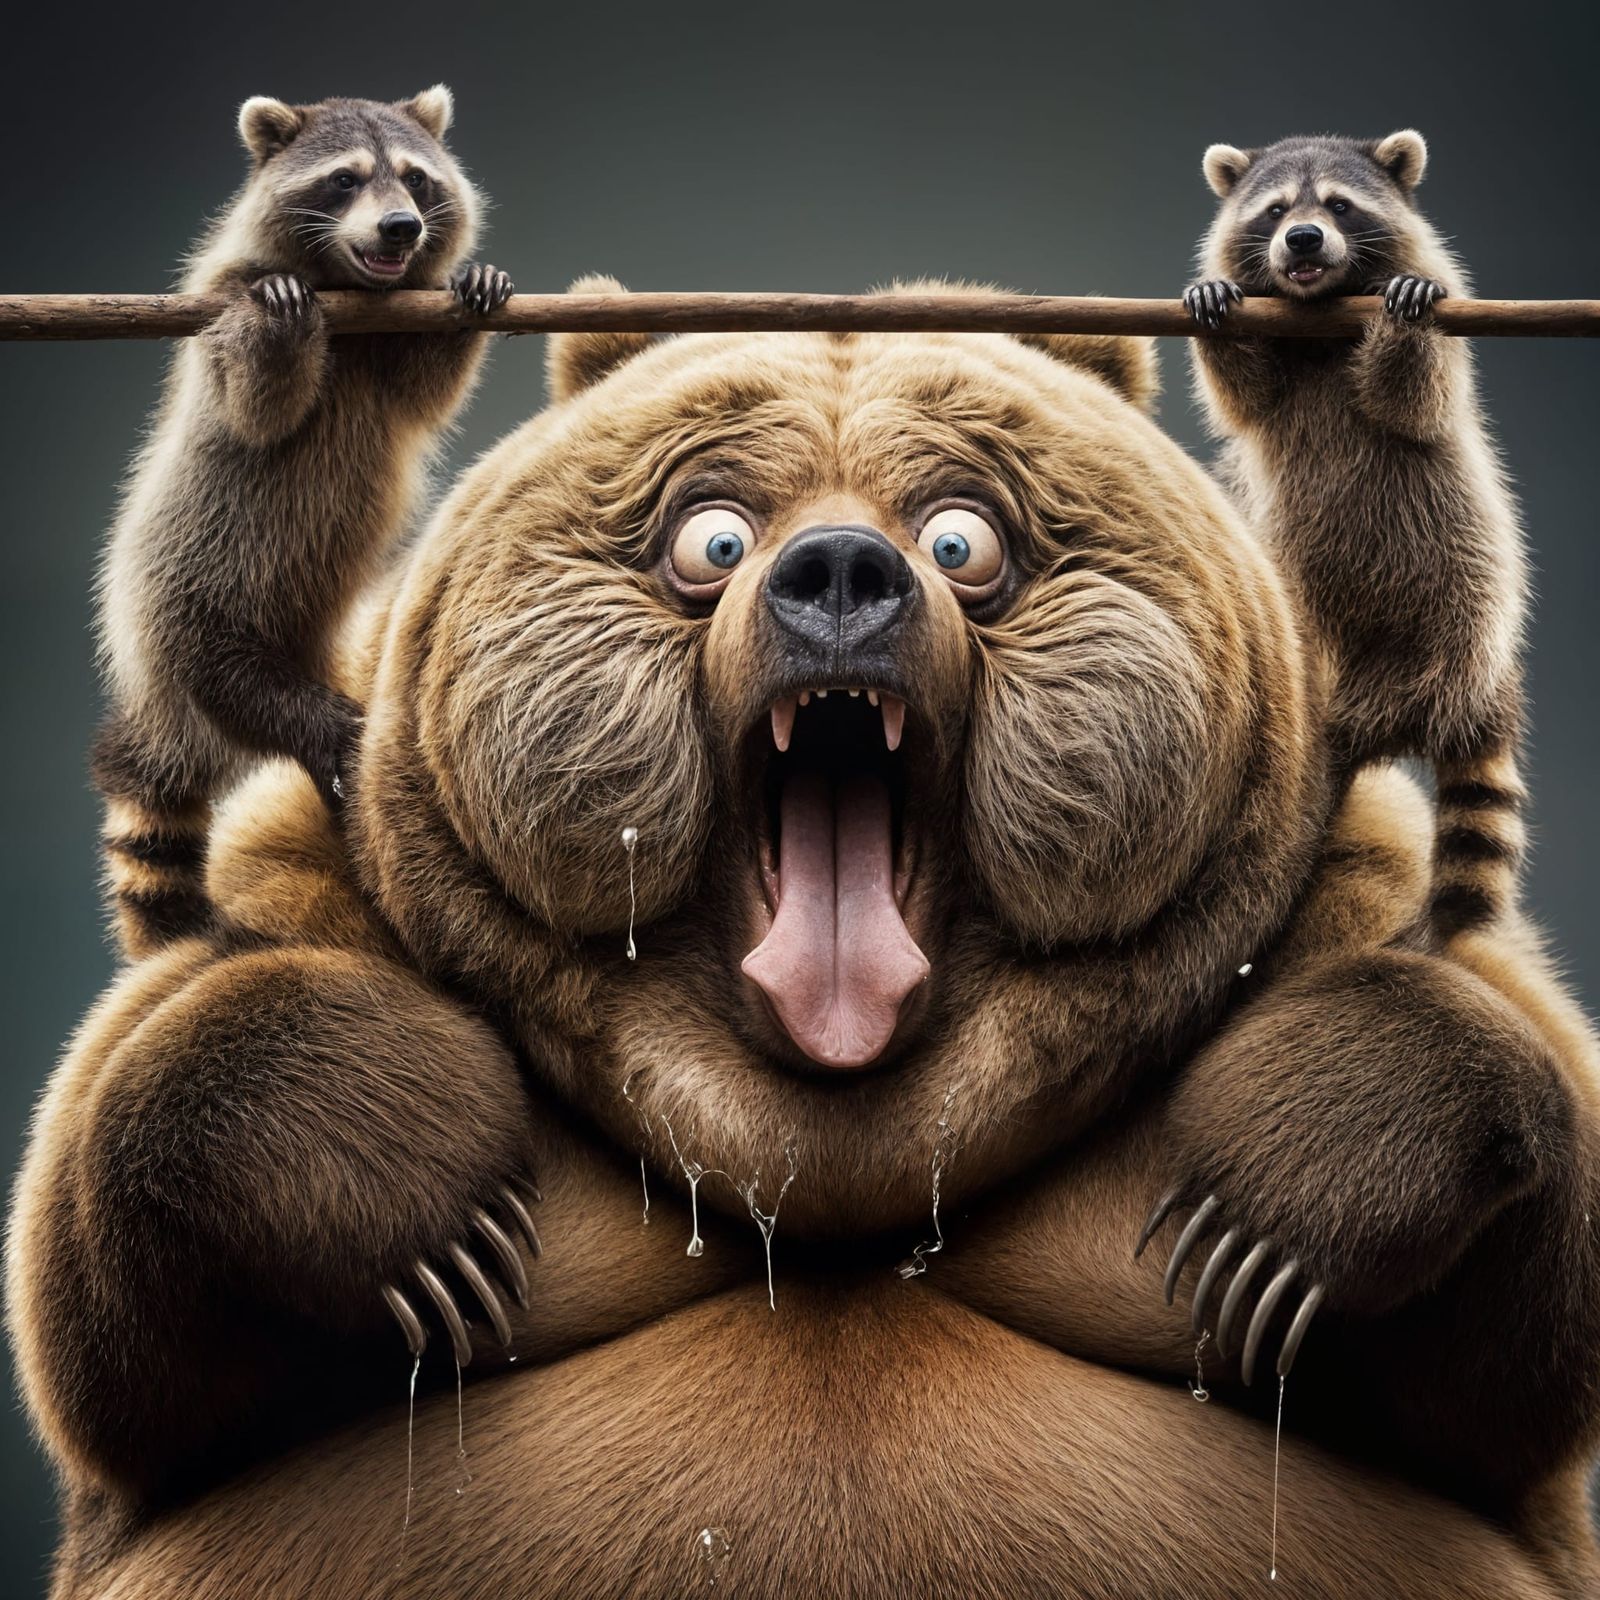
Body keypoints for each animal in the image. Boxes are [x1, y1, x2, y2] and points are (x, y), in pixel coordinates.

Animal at [8, 285, 1600, 1599]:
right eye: (710, 533)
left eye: (965, 534)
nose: (840, 573)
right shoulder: (332, 851)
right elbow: (118, 1269)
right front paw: (428, 1218)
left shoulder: (1324, 872)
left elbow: (1517, 1302)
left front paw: (1269, 1224)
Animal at [95, 86, 512, 954]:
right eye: (344, 180)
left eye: (414, 178)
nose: (401, 229)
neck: (356, 292)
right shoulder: (222, 306)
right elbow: (259, 407)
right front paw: (285, 332)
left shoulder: (399, 328)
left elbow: (427, 390)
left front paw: (472, 296)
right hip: (193, 608)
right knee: (264, 699)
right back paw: (326, 738)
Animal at [1185, 131, 1528, 939]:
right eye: (1276, 211)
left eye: (1340, 206)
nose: (1304, 238)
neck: (1319, 310)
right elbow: (1242, 396)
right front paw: (1215, 303)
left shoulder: (1448, 302)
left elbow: (1415, 396)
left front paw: (1402, 322)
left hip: (1460, 597)